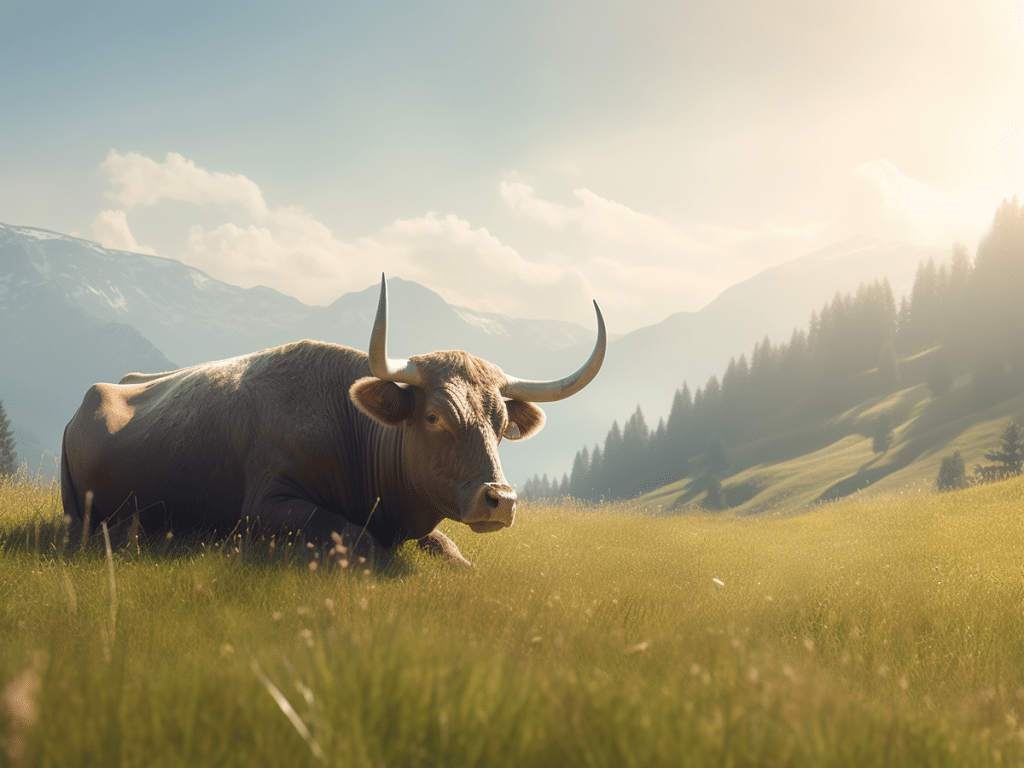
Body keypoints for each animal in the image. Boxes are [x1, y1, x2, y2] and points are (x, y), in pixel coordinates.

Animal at [60, 275, 605, 567]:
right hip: (78, 510)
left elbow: (453, 551)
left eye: (499, 424)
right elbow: (358, 540)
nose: (500, 500)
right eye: (433, 416)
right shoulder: (266, 505)